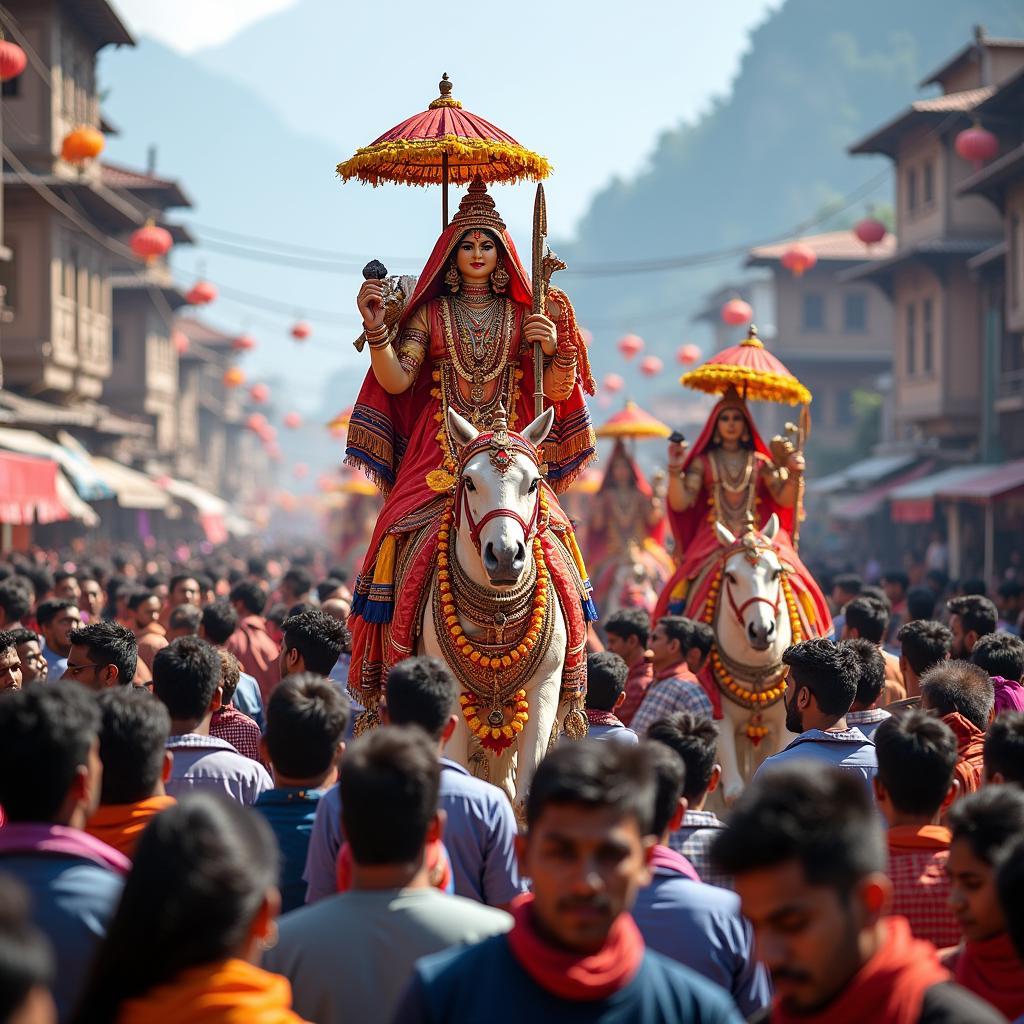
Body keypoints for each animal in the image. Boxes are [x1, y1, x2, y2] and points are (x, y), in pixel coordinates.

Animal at [419, 403, 573, 811]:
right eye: (470, 482)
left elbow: (524, 794)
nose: (504, 556)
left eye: (533, 483)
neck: (496, 616)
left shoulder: (546, 684)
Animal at [708, 516, 794, 802]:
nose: (761, 630)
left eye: (776, 573)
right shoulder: (719, 715)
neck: (756, 671)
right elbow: (734, 791)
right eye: (731, 577)